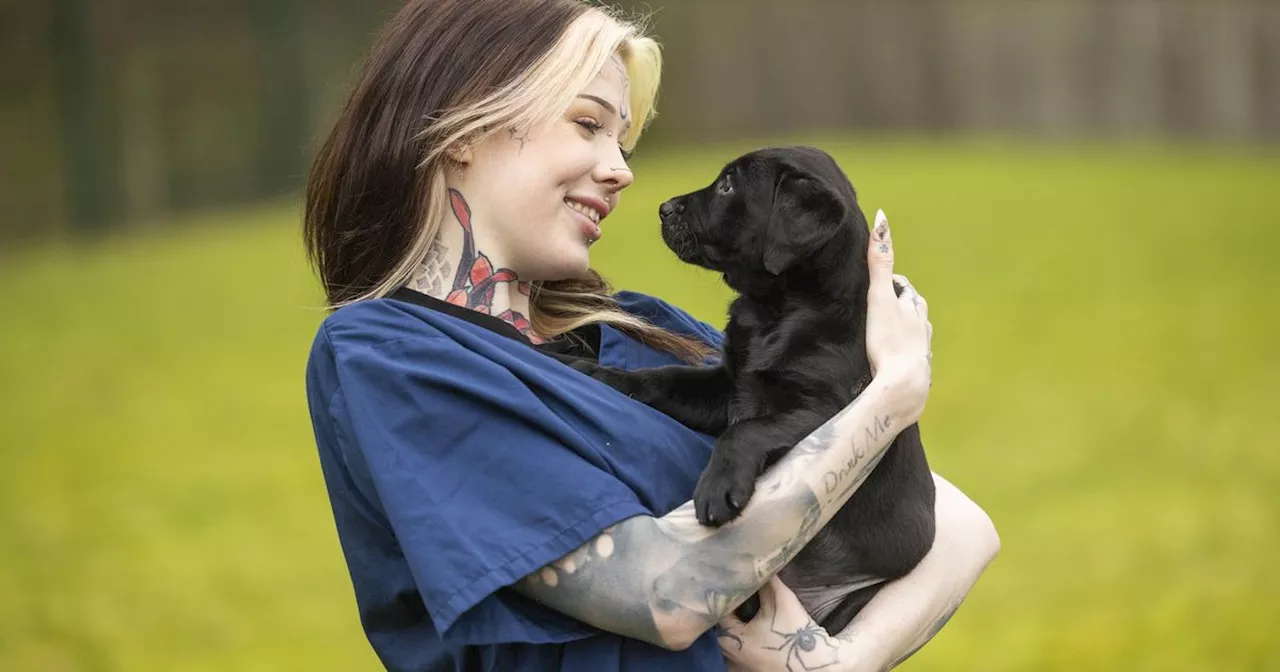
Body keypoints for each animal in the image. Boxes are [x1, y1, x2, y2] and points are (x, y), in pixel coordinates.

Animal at [576, 144, 936, 632]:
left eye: (729, 185)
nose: (663, 207)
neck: (776, 312)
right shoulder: (727, 385)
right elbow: (663, 379)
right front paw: (596, 373)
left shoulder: (829, 408)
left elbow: (744, 431)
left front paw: (717, 487)